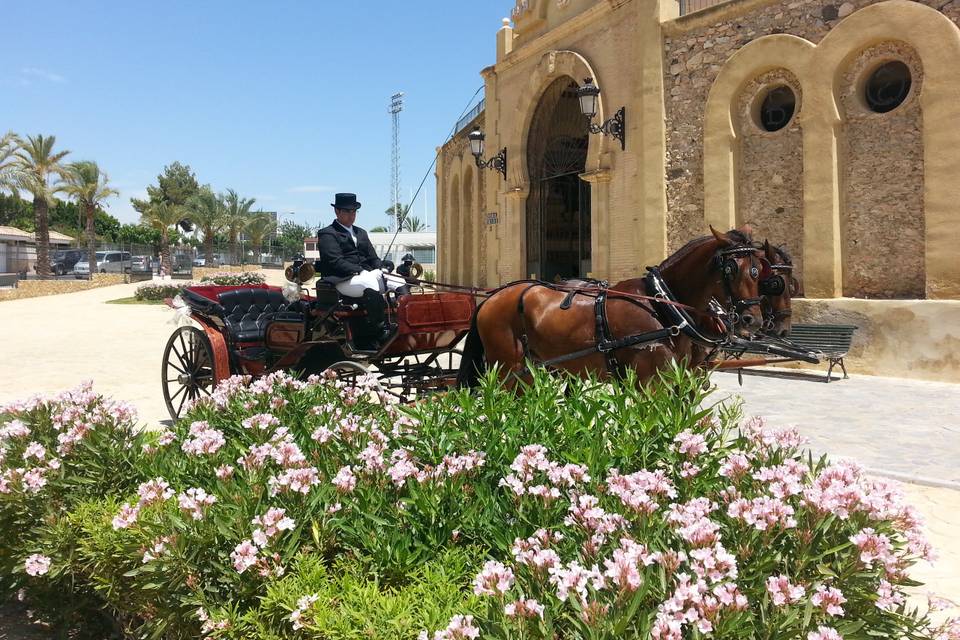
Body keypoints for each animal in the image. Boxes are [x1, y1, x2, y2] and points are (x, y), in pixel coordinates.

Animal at [460, 228, 772, 388]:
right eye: (730, 269)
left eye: (758, 270)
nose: (753, 320)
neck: (660, 304)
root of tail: (491, 298)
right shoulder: (649, 382)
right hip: (506, 368)